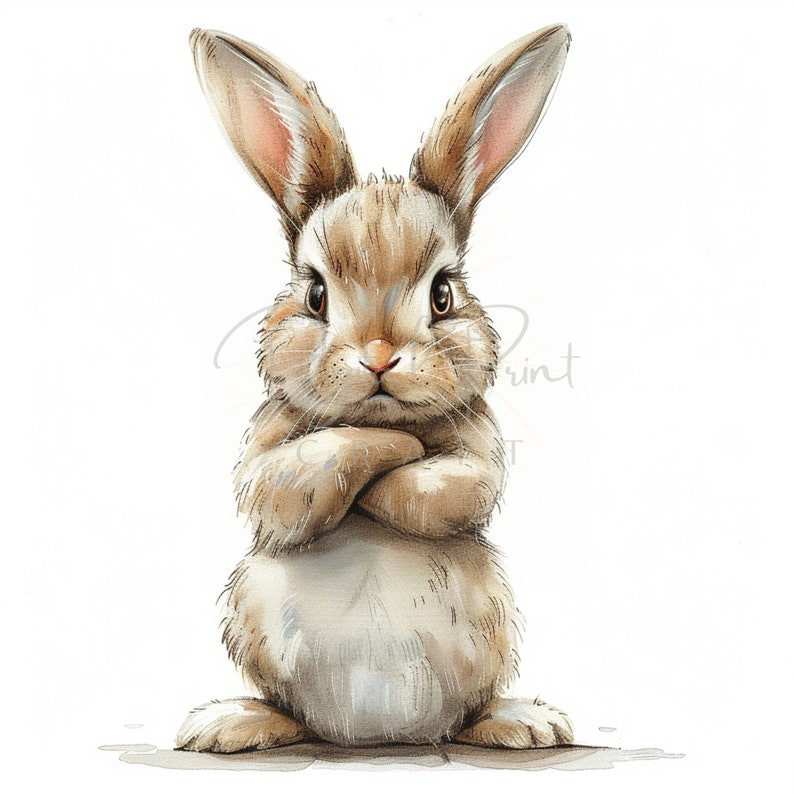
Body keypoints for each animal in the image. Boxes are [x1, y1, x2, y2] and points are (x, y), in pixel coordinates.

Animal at [176, 23, 573, 752]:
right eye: (315, 293)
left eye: (443, 294)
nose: (381, 358)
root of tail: (375, 735)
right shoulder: (271, 454)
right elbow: (291, 479)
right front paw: (388, 445)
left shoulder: (479, 451)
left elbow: (450, 486)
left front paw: (401, 453)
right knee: (294, 714)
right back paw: (230, 722)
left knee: (467, 714)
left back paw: (524, 720)